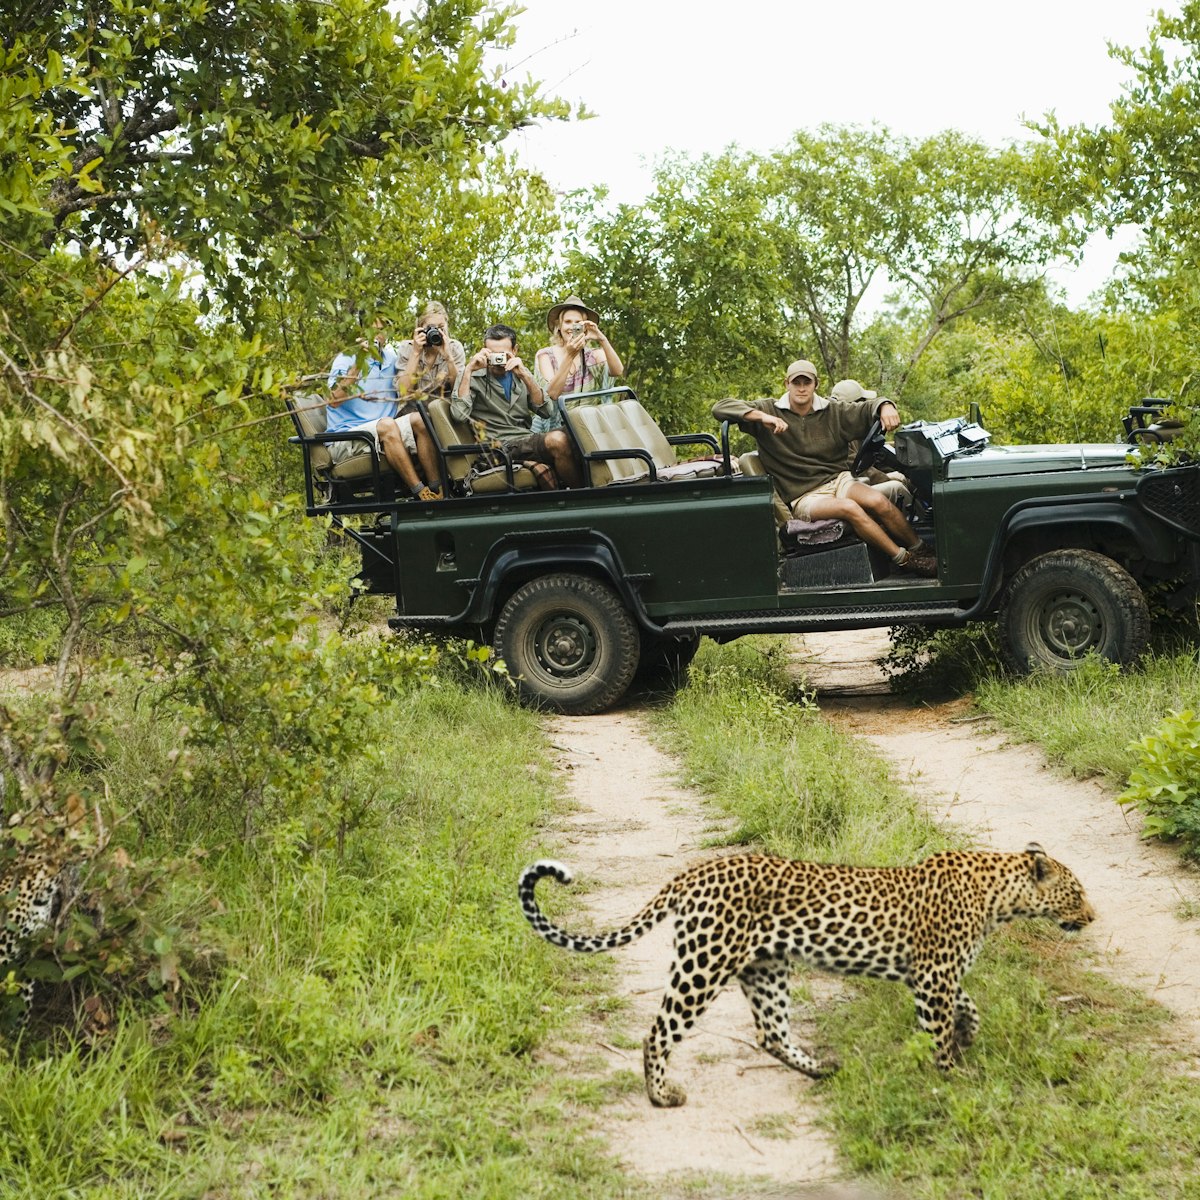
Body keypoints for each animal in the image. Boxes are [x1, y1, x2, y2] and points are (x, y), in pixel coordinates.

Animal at [518, 840, 1099, 1099]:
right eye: (1077, 893)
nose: (1092, 917)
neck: (999, 895)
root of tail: (693, 872)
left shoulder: (932, 975)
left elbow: (968, 1003)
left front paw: (969, 1033)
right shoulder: (934, 975)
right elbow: (938, 1033)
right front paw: (953, 1076)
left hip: (766, 968)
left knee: (771, 1033)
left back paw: (821, 1069)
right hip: (703, 964)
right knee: (659, 1031)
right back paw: (662, 1095)